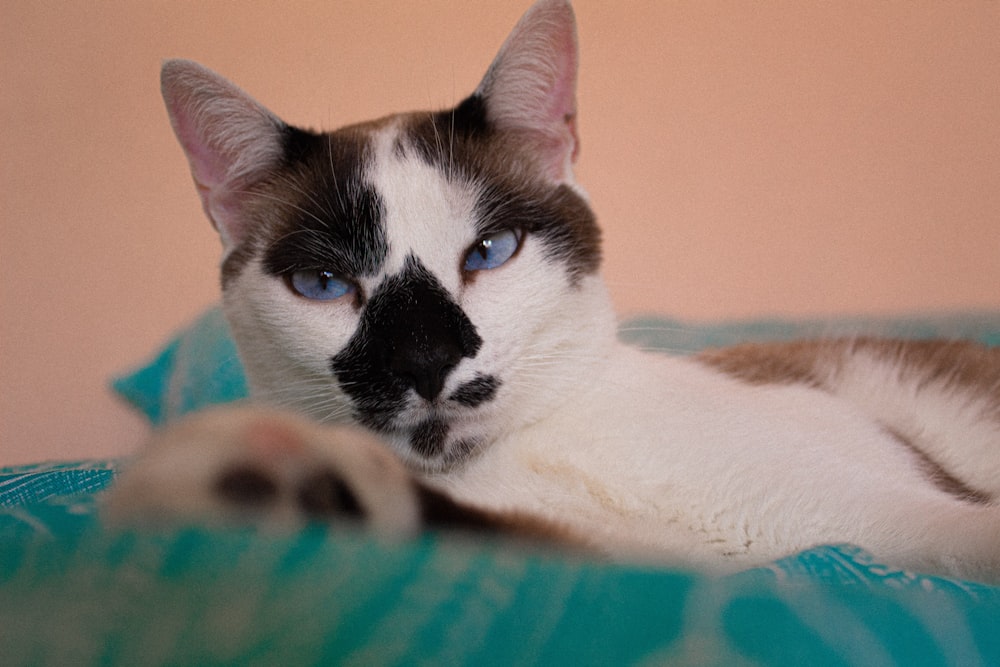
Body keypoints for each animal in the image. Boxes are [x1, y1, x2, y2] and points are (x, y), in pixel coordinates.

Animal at [103, 0, 1000, 580]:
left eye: (490, 251)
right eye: (325, 283)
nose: (424, 358)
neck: (553, 443)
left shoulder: (898, 517)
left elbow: (965, 537)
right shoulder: (647, 561)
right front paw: (255, 488)